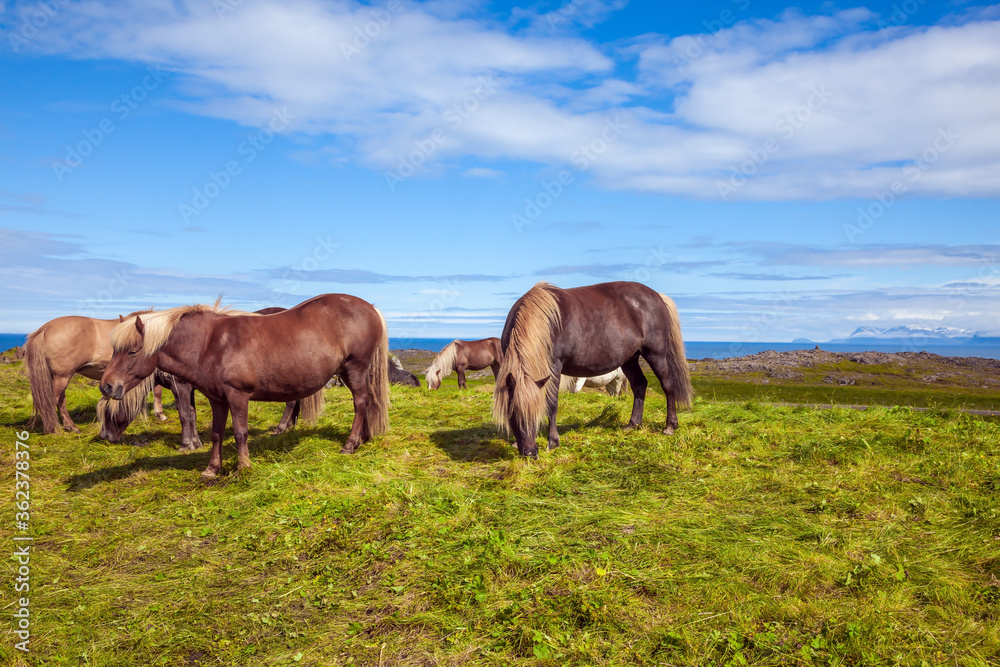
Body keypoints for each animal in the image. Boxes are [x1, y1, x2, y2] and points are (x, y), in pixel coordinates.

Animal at [97, 294, 386, 478]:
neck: (209, 344)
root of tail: (370, 307)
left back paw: (349, 444)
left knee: (360, 403)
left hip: (354, 370)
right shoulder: (217, 399)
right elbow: (217, 433)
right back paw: (362, 439)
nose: (107, 386)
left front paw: (243, 467)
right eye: (115, 350)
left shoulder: (238, 396)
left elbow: (240, 432)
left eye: (132, 351)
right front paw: (212, 469)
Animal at [490, 282, 692, 460]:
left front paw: (553, 441)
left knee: (668, 386)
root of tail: (658, 296)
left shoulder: (555, 366)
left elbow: (552, 403)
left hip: (655, 354)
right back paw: (633, 424)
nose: (531, 453)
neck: (545, 322)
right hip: (630, 359)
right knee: (640, 385)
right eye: (513, 413)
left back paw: (670, 426)